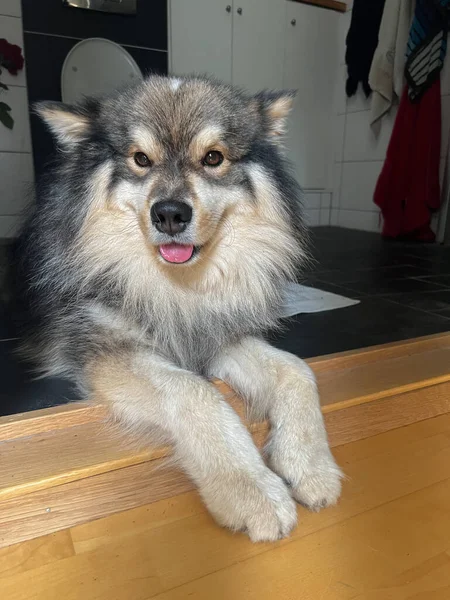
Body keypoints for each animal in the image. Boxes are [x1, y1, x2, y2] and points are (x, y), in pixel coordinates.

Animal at [15, 76, 342, 544]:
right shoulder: (110, 349)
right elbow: (195, 391)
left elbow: (297, 371)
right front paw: (252, 490)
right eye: (140, 159)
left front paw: (311, 464)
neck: (176, 289)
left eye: (213, 158)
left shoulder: (215, 335)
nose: (170, 214)